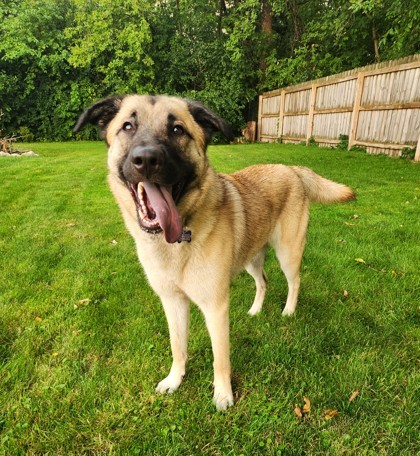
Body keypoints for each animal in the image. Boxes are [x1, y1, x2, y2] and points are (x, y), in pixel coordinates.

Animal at [74, 95, 356, 410]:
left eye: (177, 130)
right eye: (127, 126)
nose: (146, 160)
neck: (177, 241)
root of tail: (292, 169)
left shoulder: (216, 307)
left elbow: (220, 359)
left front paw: (223, 395)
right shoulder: (172, 303)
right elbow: (178, 346)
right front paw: (175, 380)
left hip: (288, 253)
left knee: (294, 282)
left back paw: (288, 311)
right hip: (252, 258)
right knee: (263, 282)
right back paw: (256, 310)